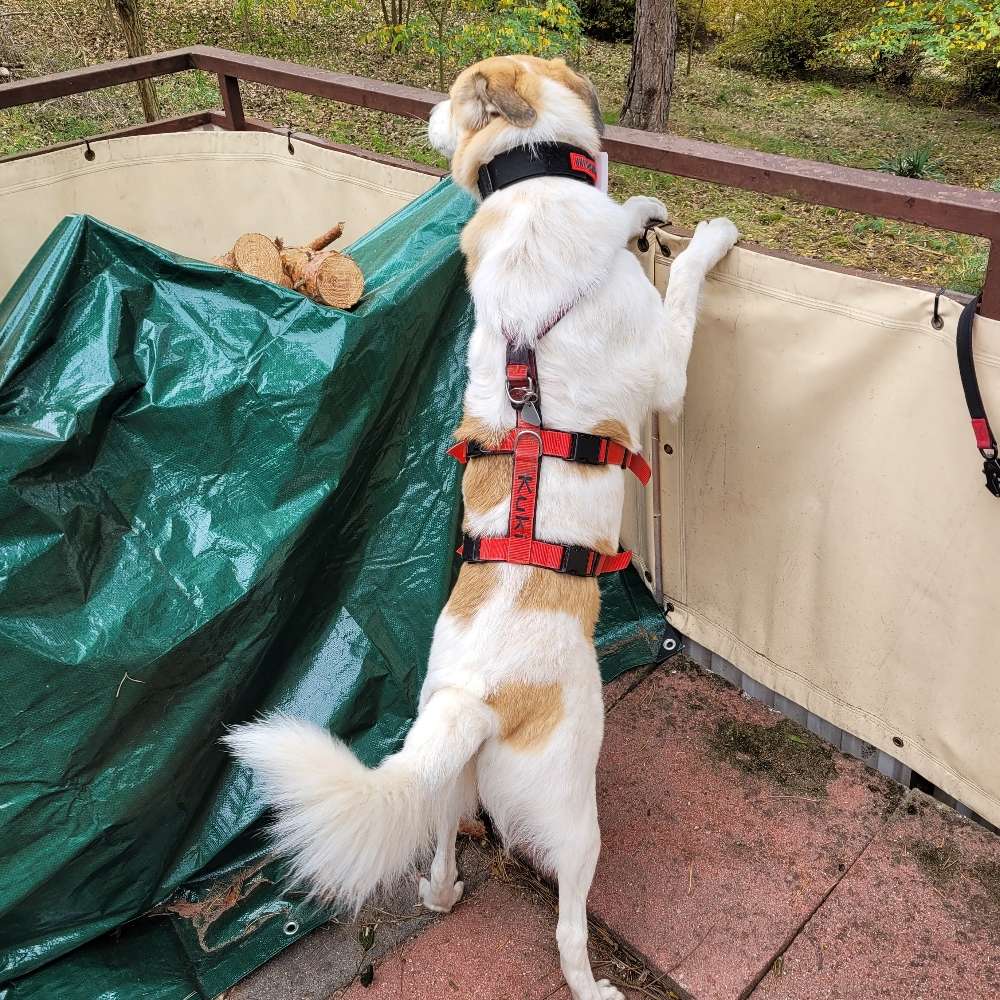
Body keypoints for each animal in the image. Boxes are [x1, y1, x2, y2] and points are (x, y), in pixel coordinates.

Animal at [229, 52, 744, 1000]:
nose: (427, 116)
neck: (531, 178)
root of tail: (472, 702)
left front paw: (640, 211)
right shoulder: (668, 368)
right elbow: (686, 285)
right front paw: (708, 236)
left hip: (448, 786)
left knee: (435, 850)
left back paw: (443, 892)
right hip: (573, 818)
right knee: (569, 925)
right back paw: (592, 984)